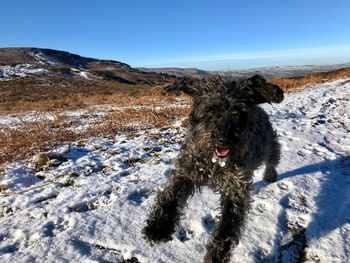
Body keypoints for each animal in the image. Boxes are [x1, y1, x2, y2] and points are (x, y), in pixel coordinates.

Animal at [142, 75, 284, 262]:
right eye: (210, 110)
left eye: (239, 112)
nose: (223, 139)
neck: (214, 163)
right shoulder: (186, 171)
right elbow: (171, 196)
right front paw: (158, 227)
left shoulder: (236, 188)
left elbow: (228, 224)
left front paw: (218, 253)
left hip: (270, 145)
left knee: (273, 159)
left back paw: (270, 175)